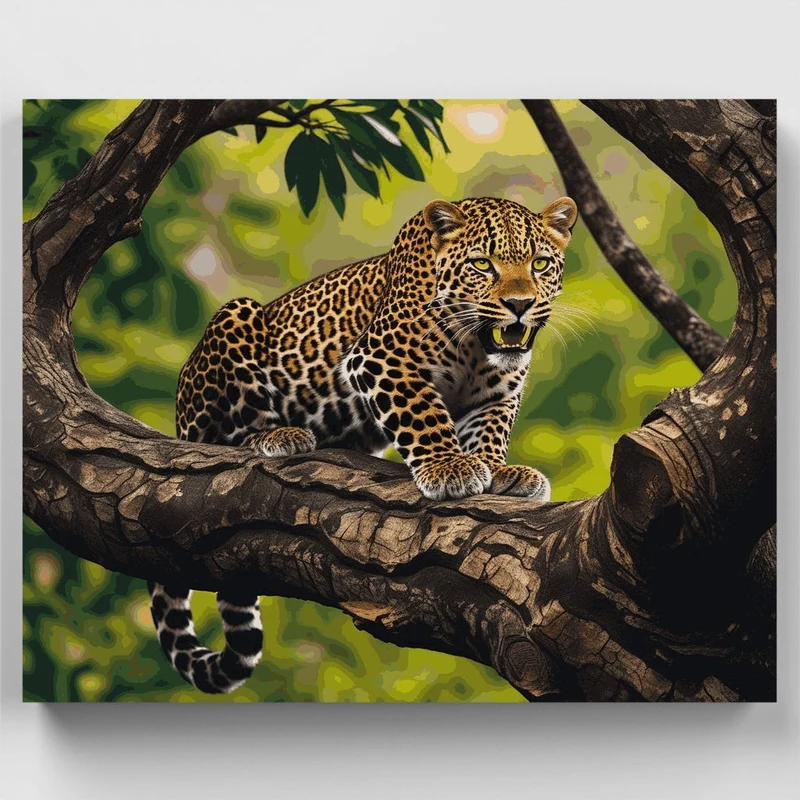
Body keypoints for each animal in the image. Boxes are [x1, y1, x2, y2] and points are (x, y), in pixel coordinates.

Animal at [150, 195, 578, 693]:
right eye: (482, 265)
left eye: (540, 264)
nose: (520, 305)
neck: (475, 348)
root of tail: (179, 415)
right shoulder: (380, 358)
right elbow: (425, 415)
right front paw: (449, 467)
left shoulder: (498, 392)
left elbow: (490, 431)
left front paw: (499, 471)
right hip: (235, 321)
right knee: (231, 430)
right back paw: (279, 435)